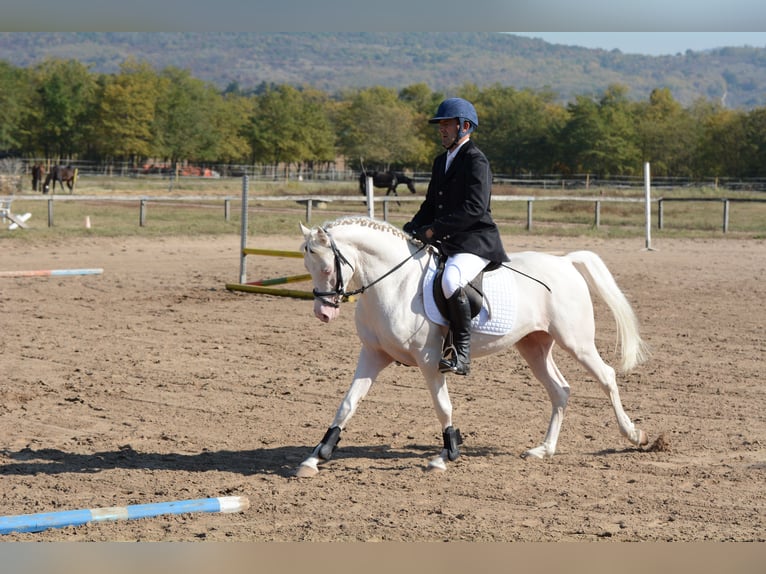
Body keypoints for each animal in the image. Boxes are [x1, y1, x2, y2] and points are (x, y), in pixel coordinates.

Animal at [296, 216, 652, 476]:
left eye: (326, 267)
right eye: (307, 267)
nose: (323, 313)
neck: (394, 283)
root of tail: (565, 261)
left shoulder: (430, 360)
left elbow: (443, 406)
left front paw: (446, 455)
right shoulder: (373, 355)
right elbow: (347, 404)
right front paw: (316, 456)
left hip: (576, 342)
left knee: (606, 377)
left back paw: (634, 436)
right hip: (534, 346)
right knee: (560, 390)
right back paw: (543, 449)